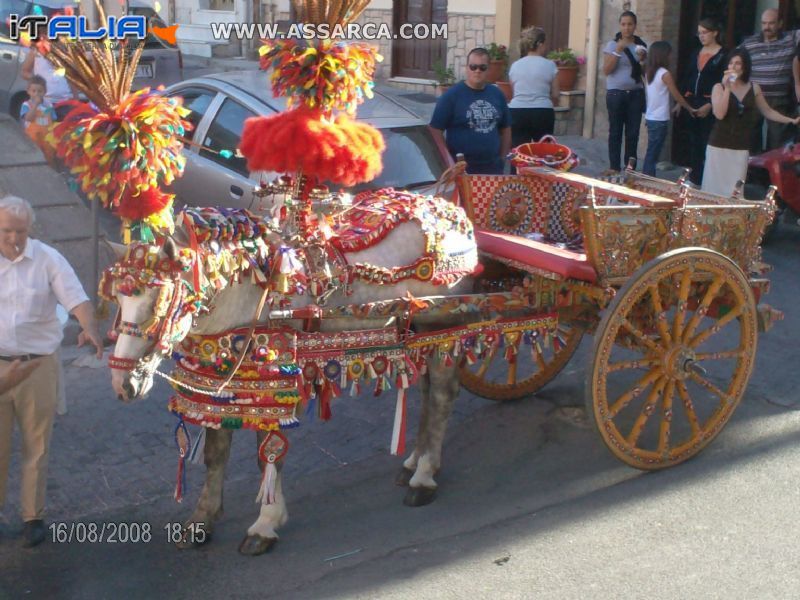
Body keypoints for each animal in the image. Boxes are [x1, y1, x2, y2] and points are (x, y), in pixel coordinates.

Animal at [108, 195, 478, 556]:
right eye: (119, 302)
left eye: (158, 303)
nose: (124, 385)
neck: (251, 292)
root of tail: (454, 213)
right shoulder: (222, 379)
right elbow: (216, 454)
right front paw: (202, 521)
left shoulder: (276, 382)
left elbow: (268, 455)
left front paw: (265, 524)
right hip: (417, 331)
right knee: (427, 392)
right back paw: (414, 462)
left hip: (442, 326)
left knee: (442, 394)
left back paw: (424, 476)